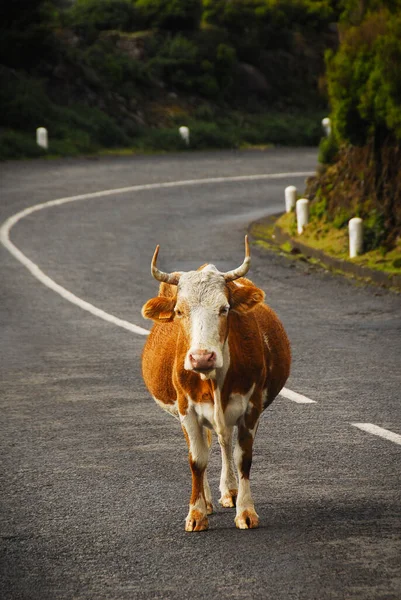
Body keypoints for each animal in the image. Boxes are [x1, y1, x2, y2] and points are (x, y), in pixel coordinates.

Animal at [141, 237, 290, 532]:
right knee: (206, 446)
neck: (213, 380)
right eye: (179, 311)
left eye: (224, 309)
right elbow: (197, 459)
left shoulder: (251, 407)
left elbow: (243, 457)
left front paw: (246, 511)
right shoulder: (187, 409)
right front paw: (196, 513)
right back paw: (207, 501)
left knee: (223, 441)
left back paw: (229, 491)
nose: (201, 357)